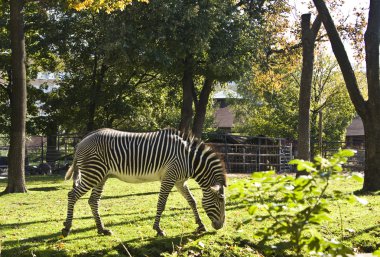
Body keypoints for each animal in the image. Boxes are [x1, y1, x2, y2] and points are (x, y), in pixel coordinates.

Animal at [62, 127, 226, 236]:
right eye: (220, 200)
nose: (220, 226)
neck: (189, 159)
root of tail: (85, 138)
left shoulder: (180, 181)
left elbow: (192, 201)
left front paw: (200, 225)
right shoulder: (169, 178)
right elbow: (161, 204)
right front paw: (158, 229)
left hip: (101, 176)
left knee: (93, 200)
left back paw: (102, 229)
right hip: (93, 173)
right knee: (72, 195)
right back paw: (67, 227)